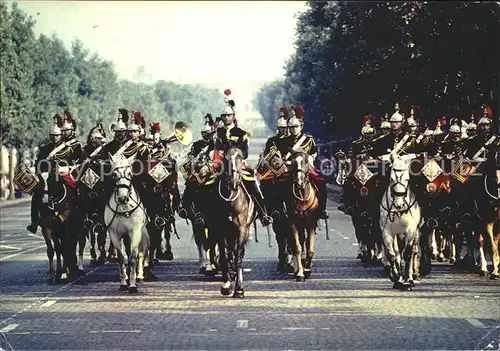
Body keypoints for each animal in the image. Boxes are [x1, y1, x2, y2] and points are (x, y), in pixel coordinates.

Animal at [104, 154, 149, 294]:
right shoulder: (114, 234)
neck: (124, 209)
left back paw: (139, 276)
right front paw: (124, 283)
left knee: (139, 253)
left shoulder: (135, 232)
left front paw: (133, 285)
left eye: (130, 173)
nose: (123, 199)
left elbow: (133, 257)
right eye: (114, 174)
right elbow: (121, 258)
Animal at [207, 147, 256, 298]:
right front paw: (226, 285)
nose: (233, 182)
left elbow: (238, 257)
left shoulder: (241, 230)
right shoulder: (220, 230)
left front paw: (239, 289)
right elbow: (224, 257)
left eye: (240, 157)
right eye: (226, 158)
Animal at [282, 150, 320, 282]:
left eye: (306, 162)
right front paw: (300, 273)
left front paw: (307, 269)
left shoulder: (311, 222)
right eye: (293, 163)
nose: (299, 182)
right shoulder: (292, 222)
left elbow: (310, 248)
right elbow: (297, 247)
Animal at [380, 154, 420, 292]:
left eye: (407, 179)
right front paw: (396, 276)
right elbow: (392, 254)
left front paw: (408, 280)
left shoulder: (410, 231)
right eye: (392, 178)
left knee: (412, 252)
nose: (398, 204)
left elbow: (407, 254)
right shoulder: (387, 232)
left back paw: (410, 277)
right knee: (397, 252)